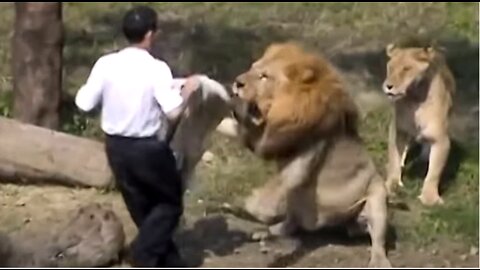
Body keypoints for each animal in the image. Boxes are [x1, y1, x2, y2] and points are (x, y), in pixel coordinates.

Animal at [218, 42, 394, 268]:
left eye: (264, 76)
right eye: (252, 68)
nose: (237, 82)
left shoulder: (298, 154)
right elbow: (228, 125)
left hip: (377, 200)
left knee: (378, 239)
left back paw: (378, 261)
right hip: (296, 201)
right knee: (290, 225)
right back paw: (267, 231)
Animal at [382, 43, 454, 206]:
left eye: (406, 69)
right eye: (390, 67)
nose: (388, 86)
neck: (414, 100)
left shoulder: (441, 140)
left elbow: (434, 173)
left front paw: (430, 198)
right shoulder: (398, 131)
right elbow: (394, 159)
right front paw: (391, 186)